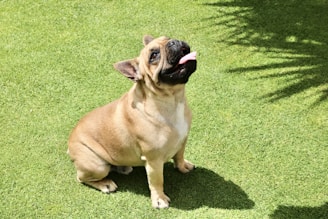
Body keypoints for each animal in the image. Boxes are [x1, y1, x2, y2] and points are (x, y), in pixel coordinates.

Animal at [68, 35, 197, 208]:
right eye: (154, 56)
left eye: (168, 38)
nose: (174, 42)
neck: (173, 99)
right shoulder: (154, 161)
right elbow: (157, 181)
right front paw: (159, 199)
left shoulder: (183, 140)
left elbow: (179, 156)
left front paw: (183, 166)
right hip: (97, 166)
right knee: (82, 178)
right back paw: (105, 184)